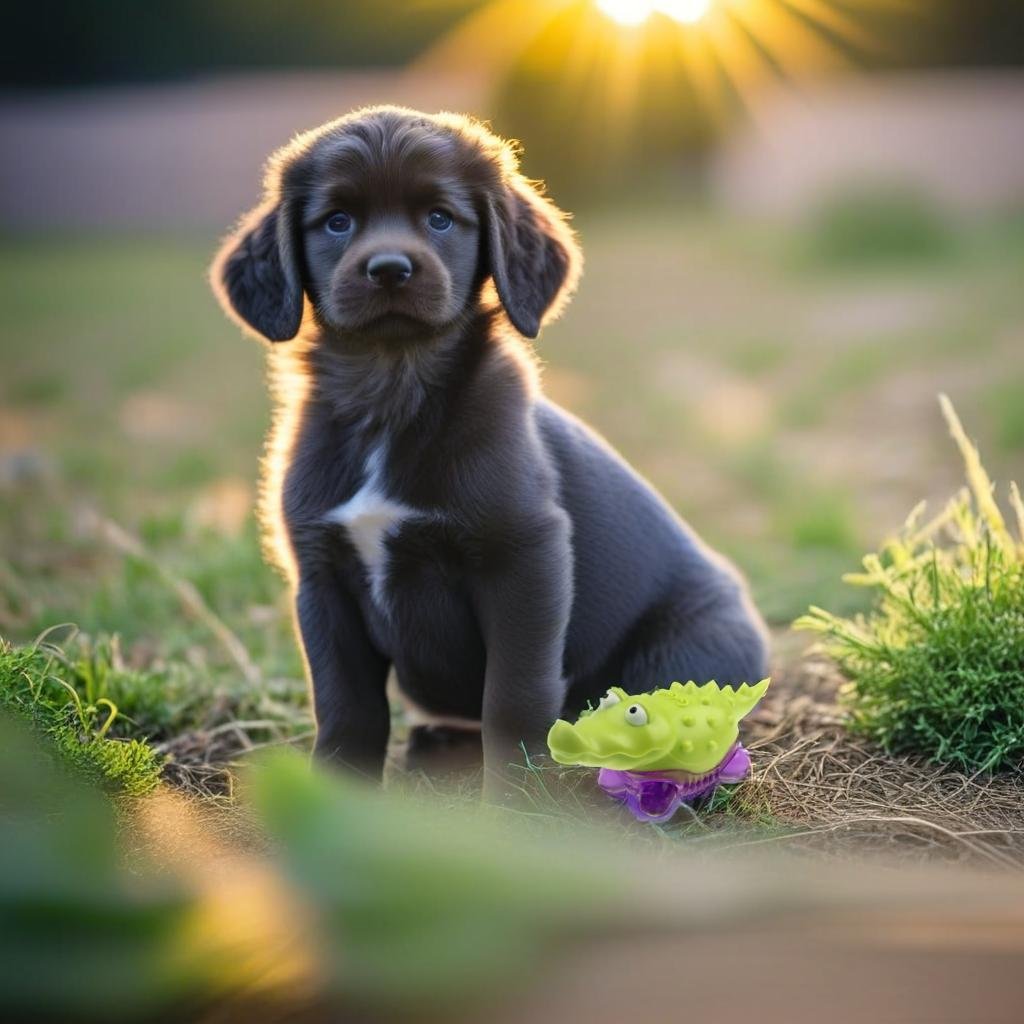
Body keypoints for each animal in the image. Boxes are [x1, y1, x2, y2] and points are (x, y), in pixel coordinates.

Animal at [209, 105, 770, 790]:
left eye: (440, 217)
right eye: (337, 220)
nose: (389, 267)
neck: (392, 395)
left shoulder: (525, 557)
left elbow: (513, 695)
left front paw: (514, 798)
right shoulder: (321, 575)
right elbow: (346, 705)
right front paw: (339, 791)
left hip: (682, 649)